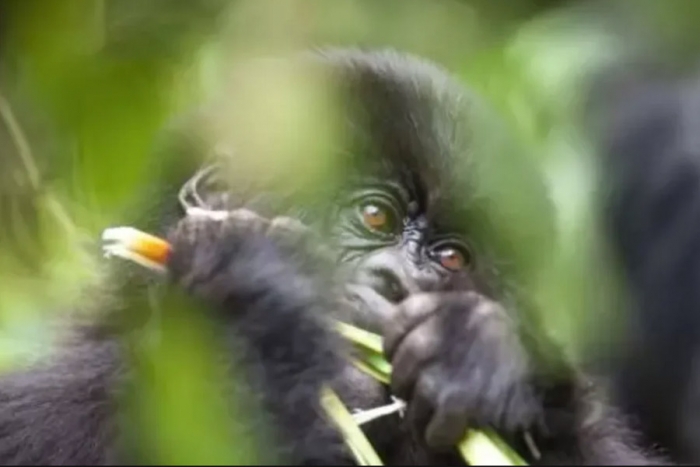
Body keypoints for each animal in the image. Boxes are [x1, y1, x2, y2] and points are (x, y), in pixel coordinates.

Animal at [0, 47, 668, 464]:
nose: (398, 285)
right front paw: (250, 303)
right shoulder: (51, 402)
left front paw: (487, 354)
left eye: (452, 259)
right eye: (375, 217)